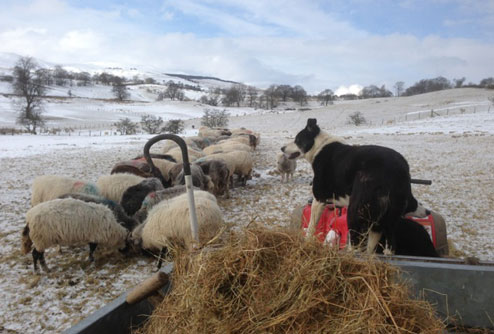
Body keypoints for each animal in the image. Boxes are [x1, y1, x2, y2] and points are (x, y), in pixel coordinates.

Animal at [282, 118, 428, 253]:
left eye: (297, 140)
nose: (282, 148)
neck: (319, 146)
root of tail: (399, 169)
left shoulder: (319, 199)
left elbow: (311, 226)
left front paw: (306, 243)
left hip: (356, 211)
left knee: (355, 245)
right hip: (385, 219)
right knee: (381, 249)